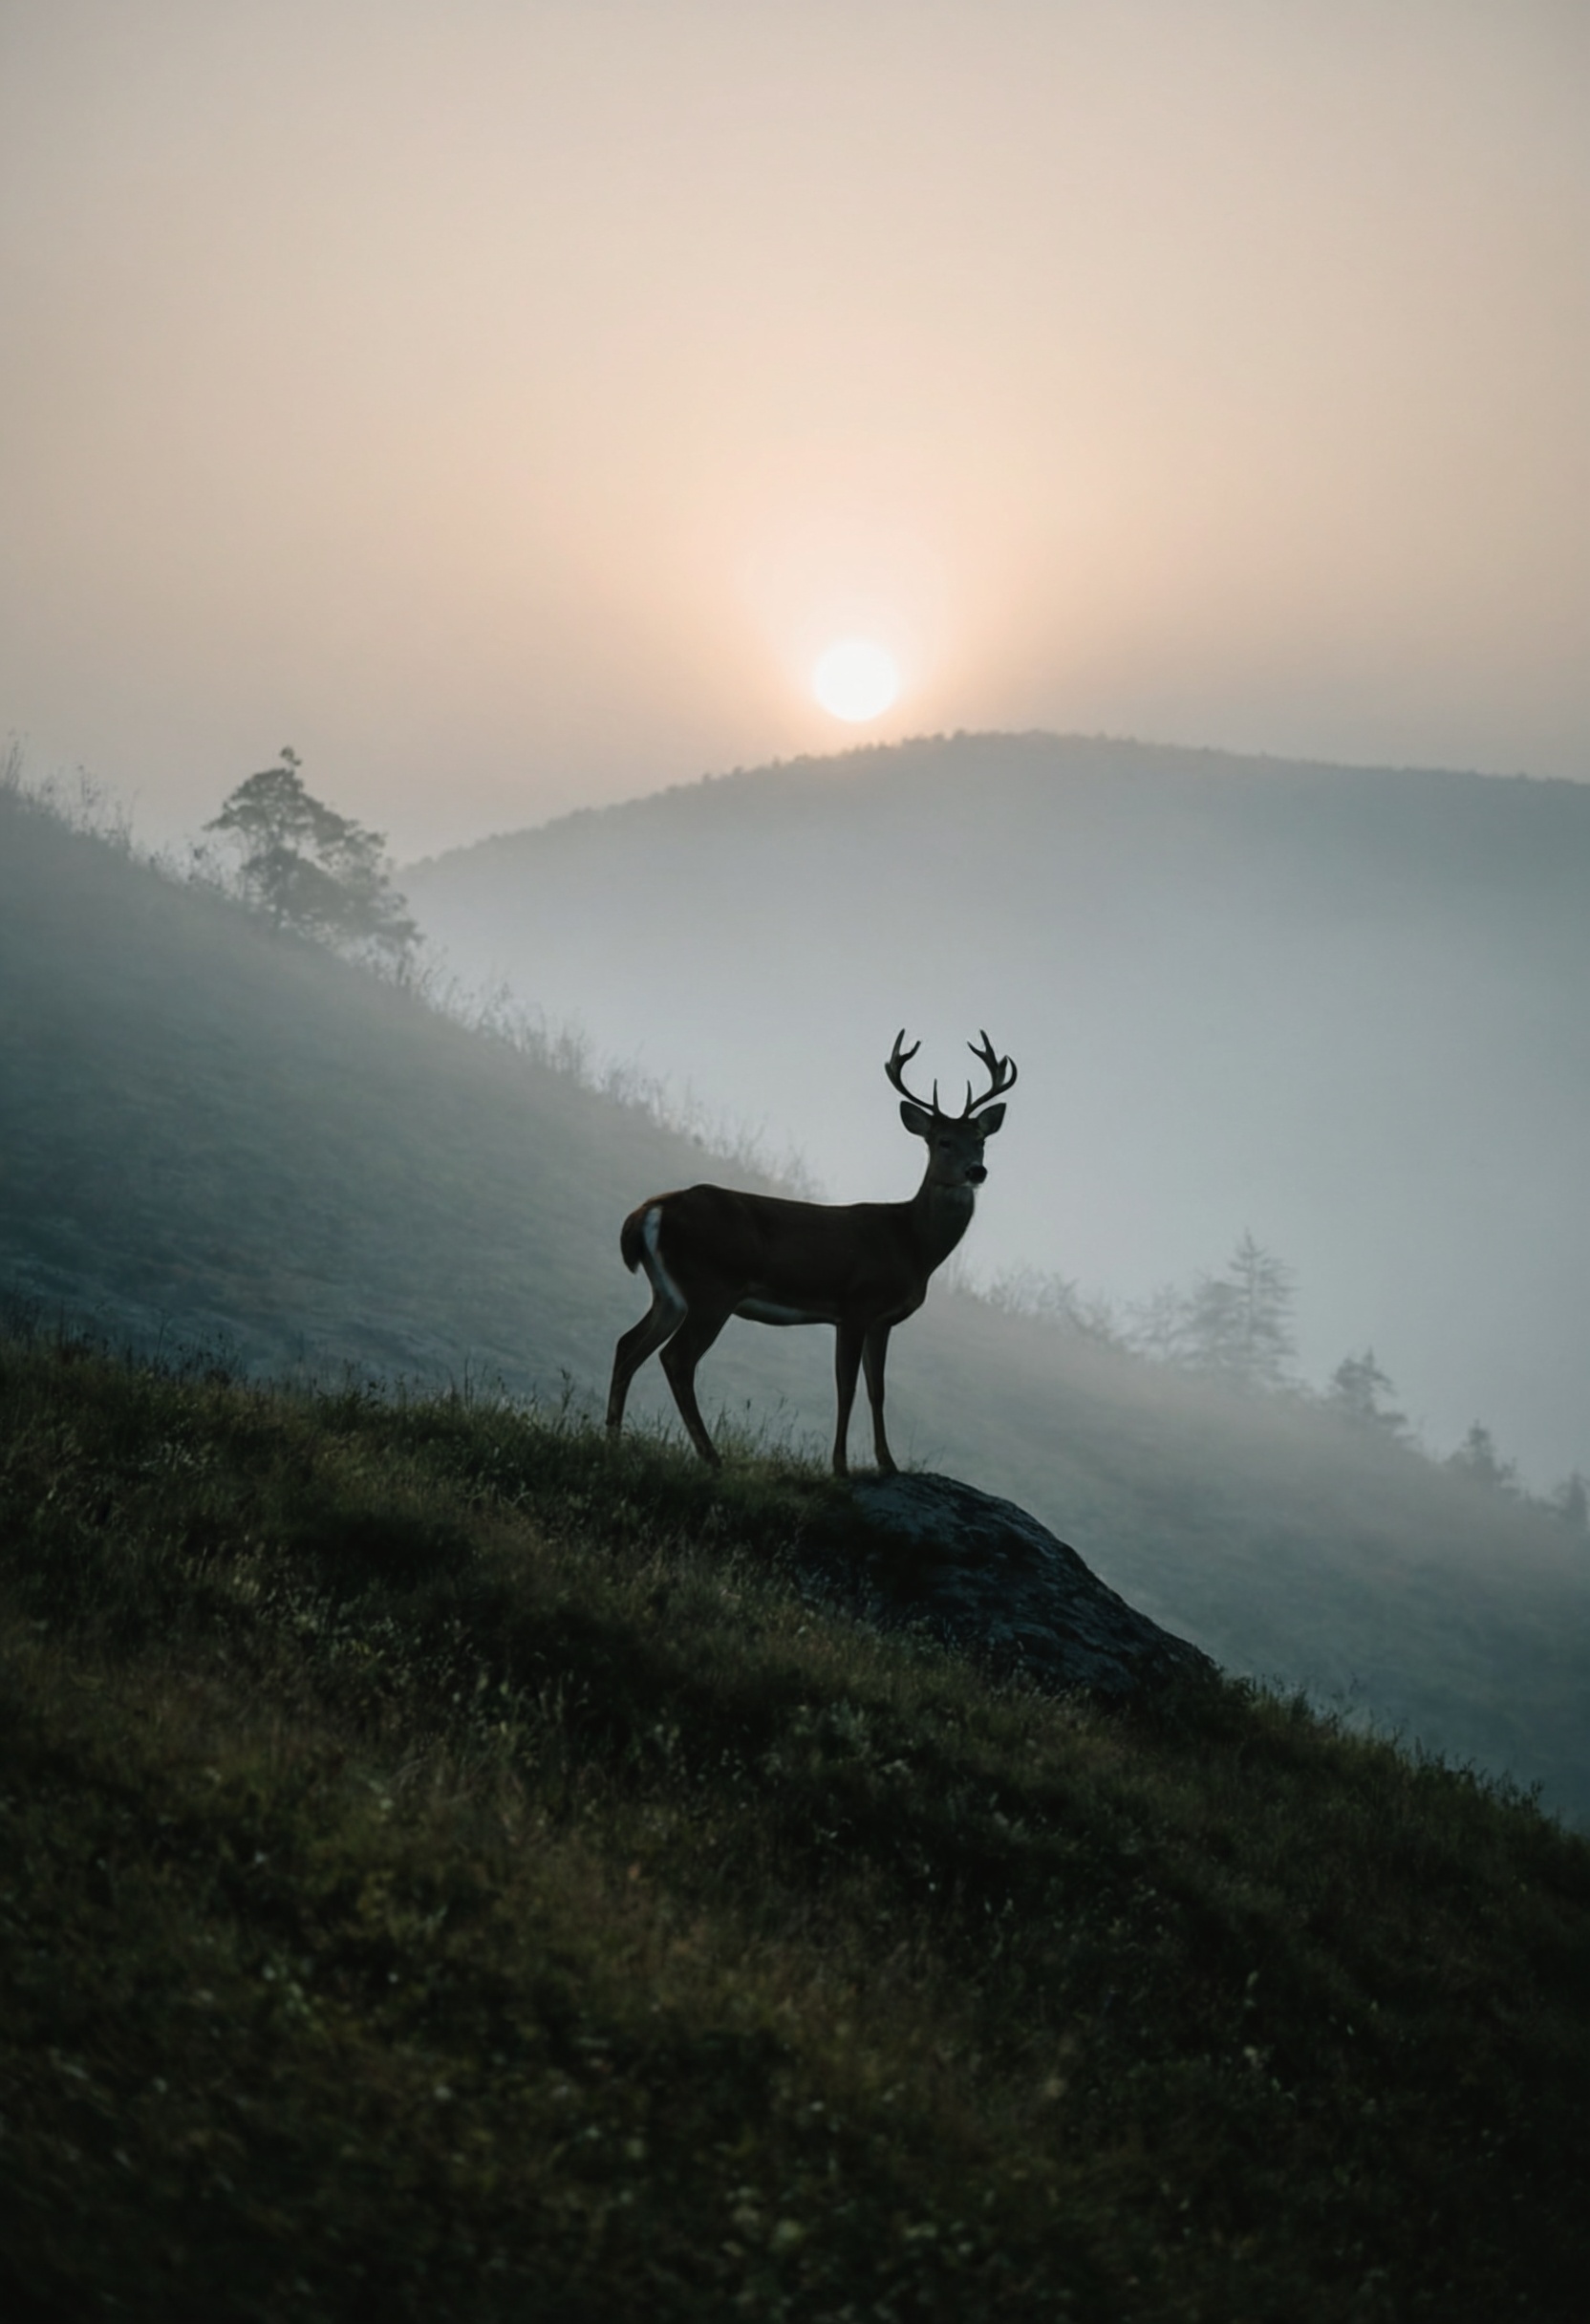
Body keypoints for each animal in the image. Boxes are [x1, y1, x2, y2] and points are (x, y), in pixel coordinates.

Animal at [606, 1030, 1017, 1475]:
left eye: (981, 1140)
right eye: (943, 1141)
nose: (976, 1171)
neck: (912, 1245)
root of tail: (650, 1210)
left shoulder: (882, 1320)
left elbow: (878, 1390)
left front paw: (887, 1464)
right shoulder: (856, 1306)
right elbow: (847, 1386)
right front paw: (840, 1466)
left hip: (670, 1293)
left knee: (628, 1345)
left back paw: (613, 1440)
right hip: (712, 1287)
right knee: (676, 1359)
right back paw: (711, 1458)